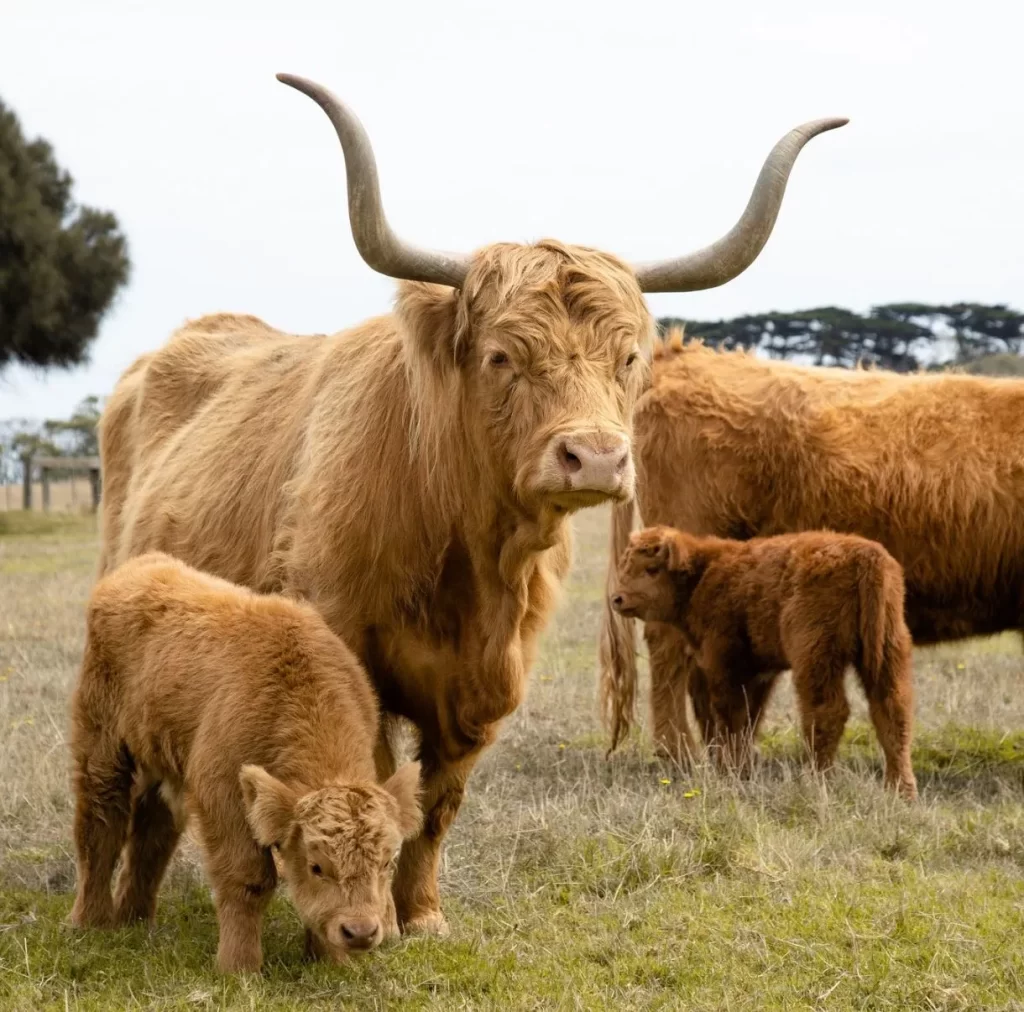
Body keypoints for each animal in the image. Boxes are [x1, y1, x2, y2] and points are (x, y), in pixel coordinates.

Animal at [68, 553, 421, 971]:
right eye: (316, 865)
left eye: (387, 862)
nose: (360, 932)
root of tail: (141, 566)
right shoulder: (222, 796)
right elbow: (248, 878)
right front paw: (239, 965)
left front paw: (330, 962)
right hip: (101, 746)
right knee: (100, 823)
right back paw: (91, 922)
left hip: (161, 761)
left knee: (152, 831)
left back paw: (134, 919)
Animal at [610, 522, 917, 798]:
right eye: (626, 565)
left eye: (651, 569)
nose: (617, 599)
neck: (704, 573)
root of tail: (865, 556)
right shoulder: (758, 673)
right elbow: (749, 720)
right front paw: (743, 770)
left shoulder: (724, 665)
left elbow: (731, 719)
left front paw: (729, 771)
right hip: (889, 652)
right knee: (892, 711)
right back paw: (901, 791)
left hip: (815, 657)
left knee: (827, 712)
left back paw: (816, 780)